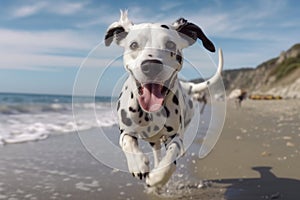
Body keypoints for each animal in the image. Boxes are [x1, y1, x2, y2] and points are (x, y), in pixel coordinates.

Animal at [105, 10, 223, 189]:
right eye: (134, 45)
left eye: (170, 45)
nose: (151, 65)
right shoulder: (125, 131)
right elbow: (127, 142)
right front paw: (138, 164)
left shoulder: (174, 137)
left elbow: (170, 161)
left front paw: (157, 178)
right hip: (154, 142)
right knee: (156, 153)